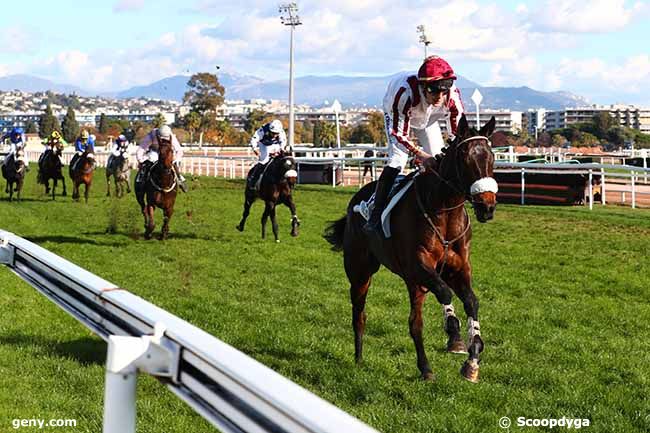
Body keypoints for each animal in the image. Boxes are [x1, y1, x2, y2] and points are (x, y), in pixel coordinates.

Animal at [322, 115, 496, 382]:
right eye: (465, 158)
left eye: (492, 157)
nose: (487, 206)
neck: (444, 214)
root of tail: (357, 199)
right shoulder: (417, 268)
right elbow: (444, 294)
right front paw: (454, 337)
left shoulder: (458, 269)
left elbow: (471, 302)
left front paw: (472, 359)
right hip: (361, 272)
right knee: (362, 315)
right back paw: (366, 359)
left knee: (413, 320)